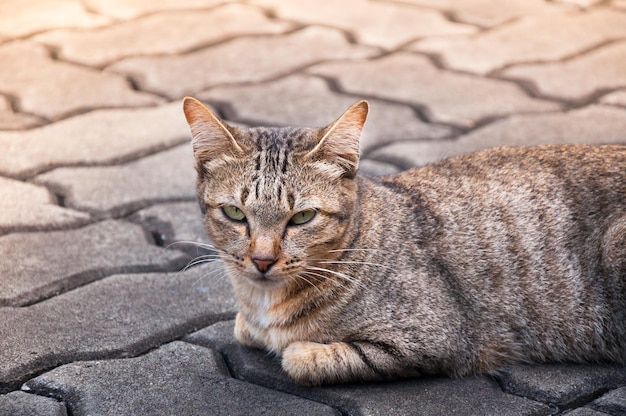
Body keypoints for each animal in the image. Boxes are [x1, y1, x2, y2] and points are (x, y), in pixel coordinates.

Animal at [182, 97, 624, 386]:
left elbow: (303, 359)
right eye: (235, 213)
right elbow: (245, 329)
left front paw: (299, 349)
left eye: (302, 217)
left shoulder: (436, 339)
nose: (262, 260)